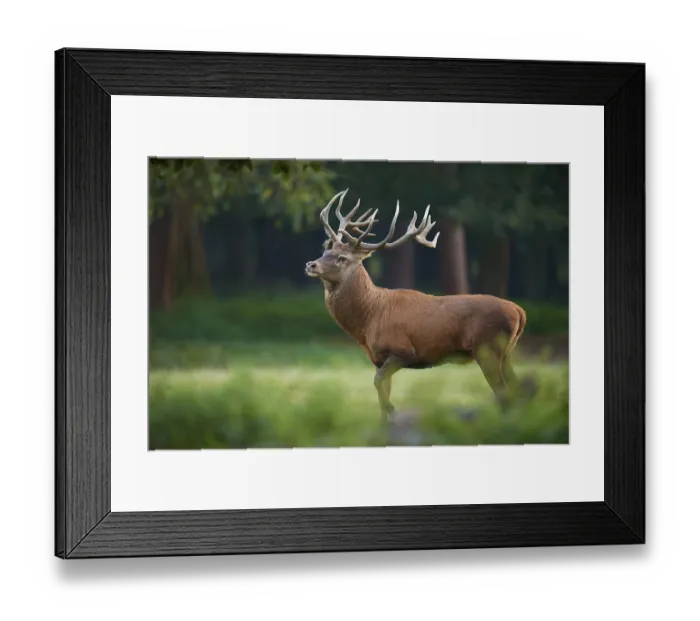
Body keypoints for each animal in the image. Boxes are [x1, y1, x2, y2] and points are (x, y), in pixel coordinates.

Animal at [304, 188, 527, 422]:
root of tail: (519, 311)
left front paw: (394, 411)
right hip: (506, 352)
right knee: (515, 388)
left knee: (504, 393)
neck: (368, 319)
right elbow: (381, 391)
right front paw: (386, 422)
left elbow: (378, 382)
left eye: (342, 258)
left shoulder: (403, 350)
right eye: (325, 251)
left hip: (487, 347)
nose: (311, 264)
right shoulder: (378, 359)